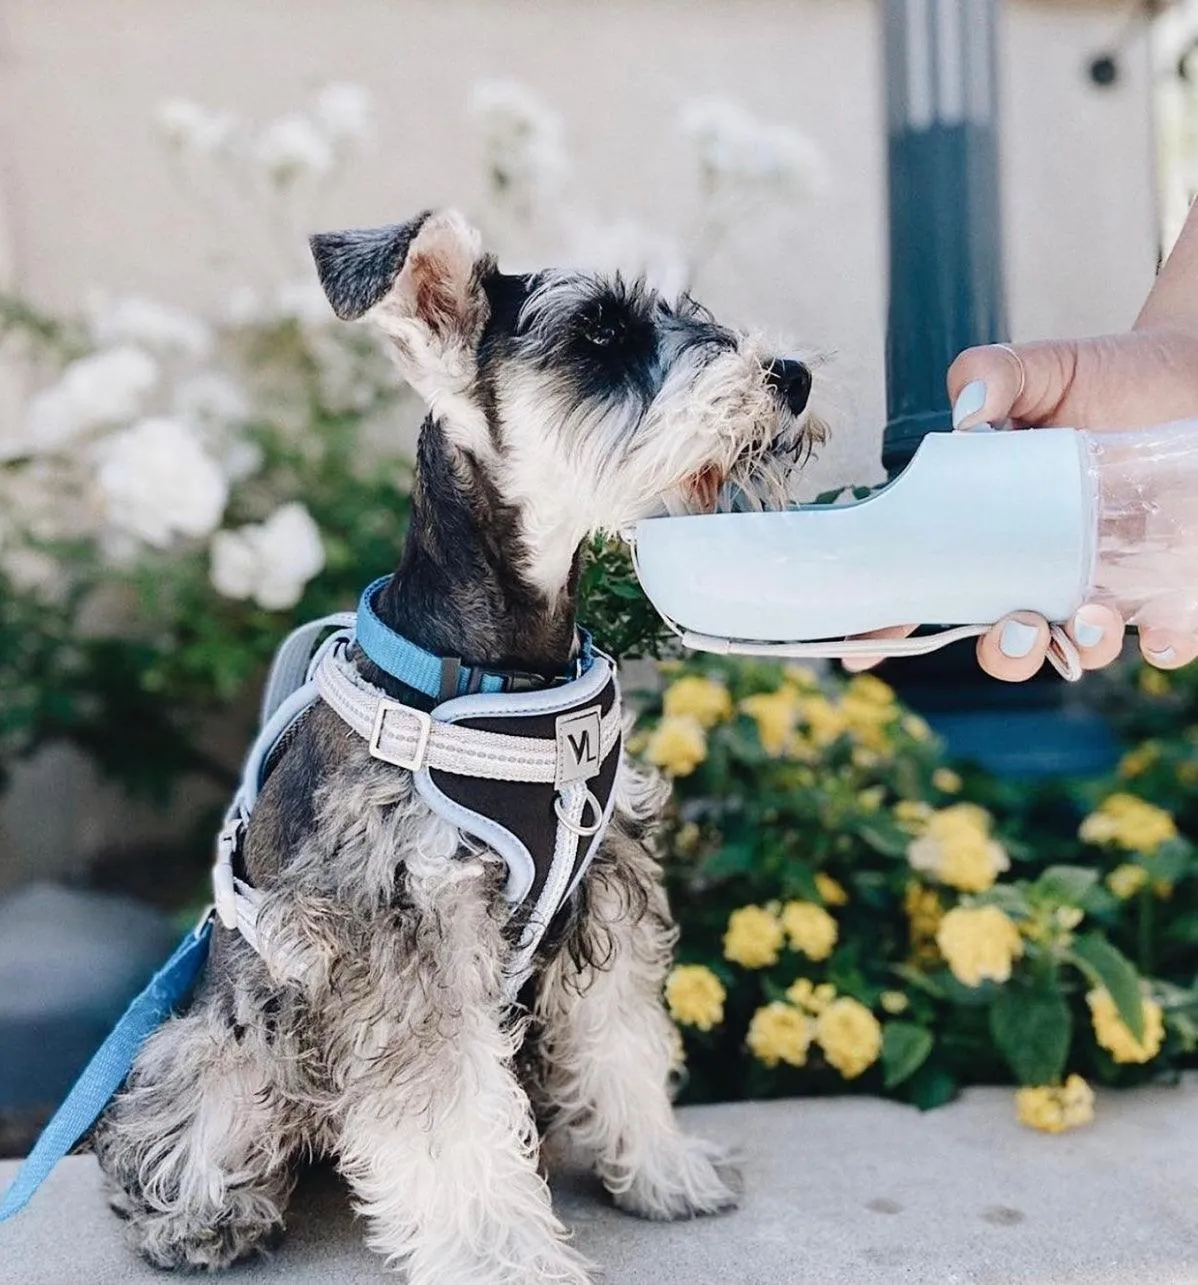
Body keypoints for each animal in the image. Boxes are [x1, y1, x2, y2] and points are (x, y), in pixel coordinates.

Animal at [93, 205, 822, 1279]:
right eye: (599, 333)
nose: (793, 375)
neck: (505, 664)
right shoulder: (409, 935)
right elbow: (449, 1122)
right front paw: (502, 1256)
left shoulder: (609, 889)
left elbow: (624, 1042)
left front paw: (663, 1170)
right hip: (228, 1038)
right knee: (171, 1129)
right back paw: (202, 1216)